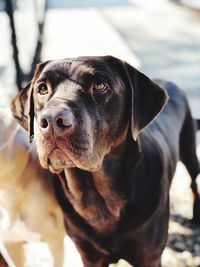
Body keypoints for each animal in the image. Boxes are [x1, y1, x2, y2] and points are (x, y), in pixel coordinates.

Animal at [11, 56, 200, 267]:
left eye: (100, 85)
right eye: (42, 88)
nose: (52, 120)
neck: (100, 199)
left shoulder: (149, 256)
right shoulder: (89, 255)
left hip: (190, 152)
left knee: (193, 182)